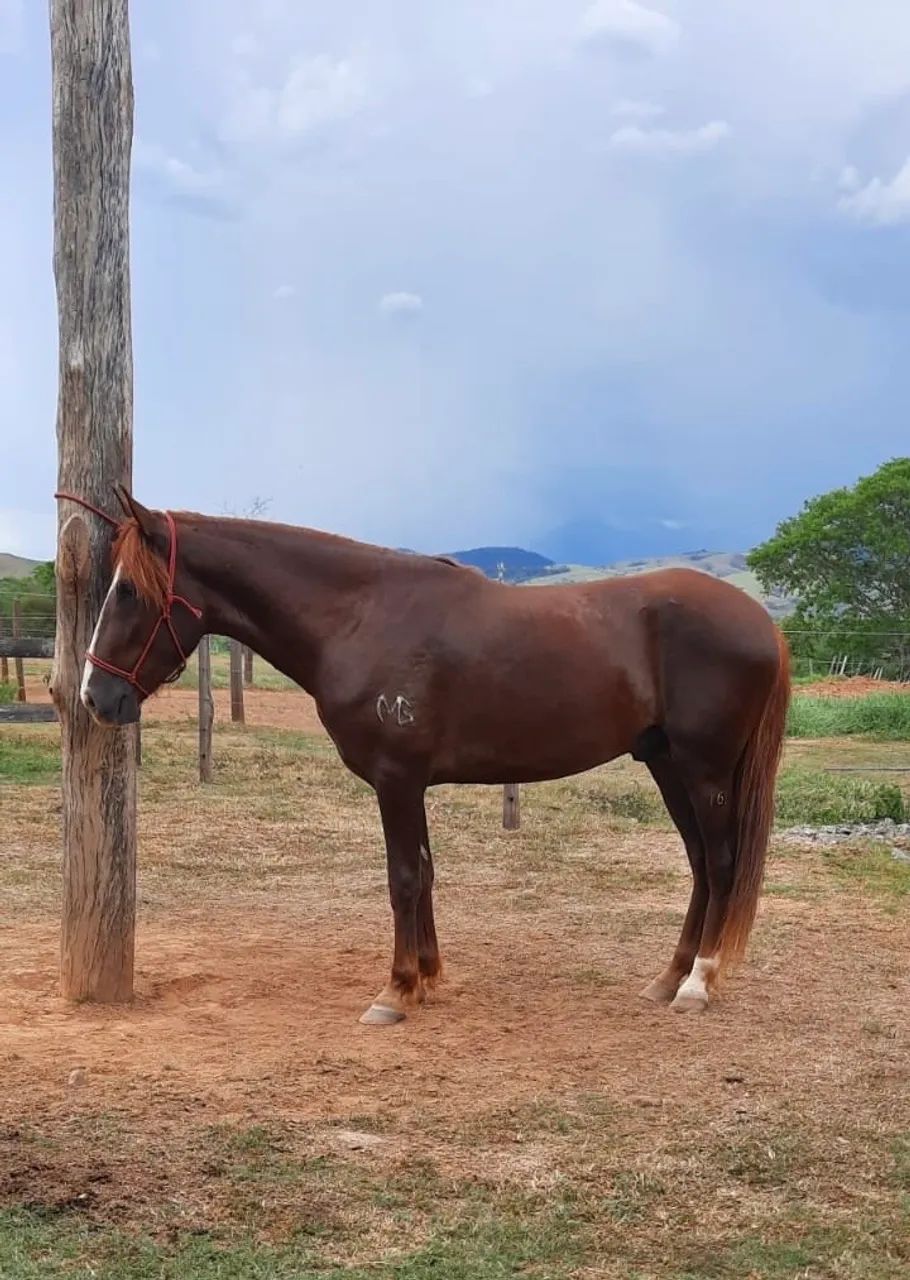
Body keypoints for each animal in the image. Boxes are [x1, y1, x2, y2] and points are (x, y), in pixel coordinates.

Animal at [65, 487, 790, 1026]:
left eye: (129, 592)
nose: (96, 697)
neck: (359, 615)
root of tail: (763, 621)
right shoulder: (410, 785)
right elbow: (428, 873)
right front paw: (429, 978)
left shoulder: (396, 780)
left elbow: (404, 879)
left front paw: (394, 991)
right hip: (667, 765)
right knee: (700, 867)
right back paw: (667, 979)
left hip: (703, 769)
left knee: (722, 865)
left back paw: (698, 985)